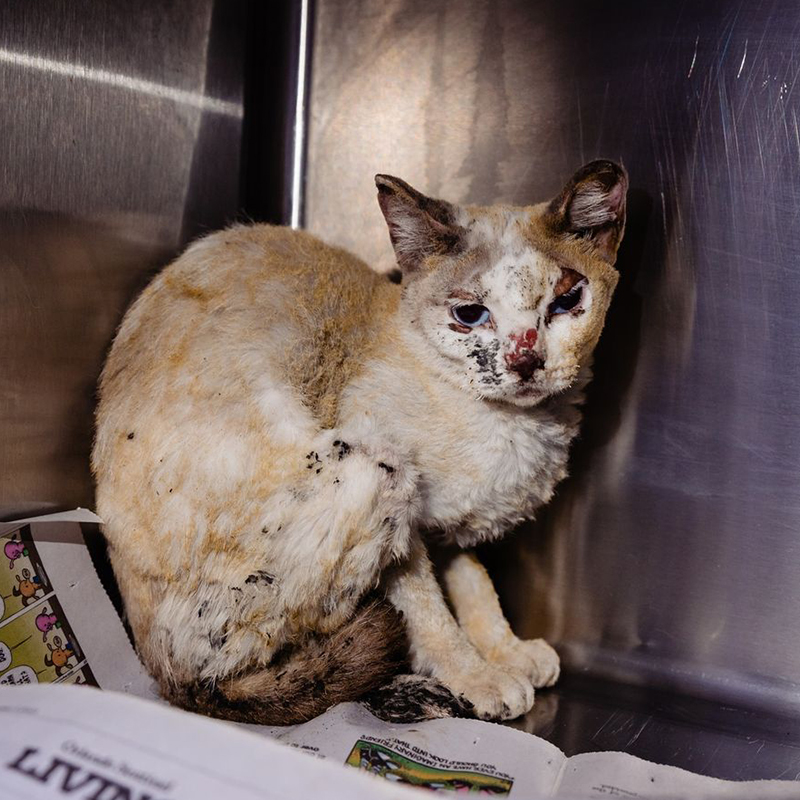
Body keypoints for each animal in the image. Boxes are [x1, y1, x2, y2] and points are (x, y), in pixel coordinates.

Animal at [92, 158, 624, 724]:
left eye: (566, 302)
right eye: (470, 316)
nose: (526, 361)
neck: (514, 428)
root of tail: (150, 659)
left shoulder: (446, 528)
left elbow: (475, 586)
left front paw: (508, 652)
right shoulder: (407, 530)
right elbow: (430, 612)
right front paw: (478, 677)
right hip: (374, 470)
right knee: (246, 673)